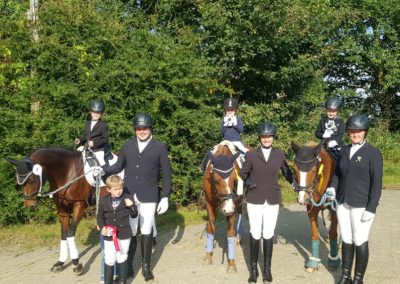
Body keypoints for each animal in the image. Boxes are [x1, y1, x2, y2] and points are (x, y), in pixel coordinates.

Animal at [202, 143, 242, 272]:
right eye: (215, 179)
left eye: (234, 179)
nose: (227, 209)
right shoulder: (209, 204)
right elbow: (211, 228)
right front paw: (208, 256)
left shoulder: (233, 205)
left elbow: (230, 233)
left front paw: (231, 263)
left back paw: (238, 238)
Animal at [290, 141, 340, 272]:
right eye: (294, 169)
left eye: (313, 170)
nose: (302, 199)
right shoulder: (311, 209)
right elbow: (315, 234)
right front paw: (313, 262)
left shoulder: (335, 209)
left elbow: (333, 233)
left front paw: (333, 260)